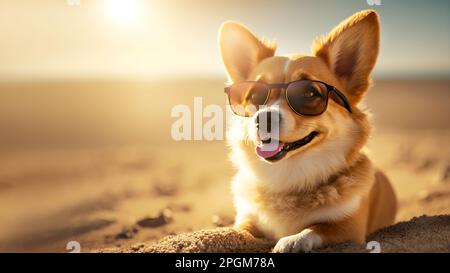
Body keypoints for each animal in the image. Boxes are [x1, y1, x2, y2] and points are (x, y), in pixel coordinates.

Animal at [219, 9, 398, 252]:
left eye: (309, 93)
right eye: (255, 96)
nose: (264, 117)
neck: (290, 176)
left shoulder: (349, 228)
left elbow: (314, 228)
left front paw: (291, 240)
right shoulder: (248, 218)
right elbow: (238, 231)